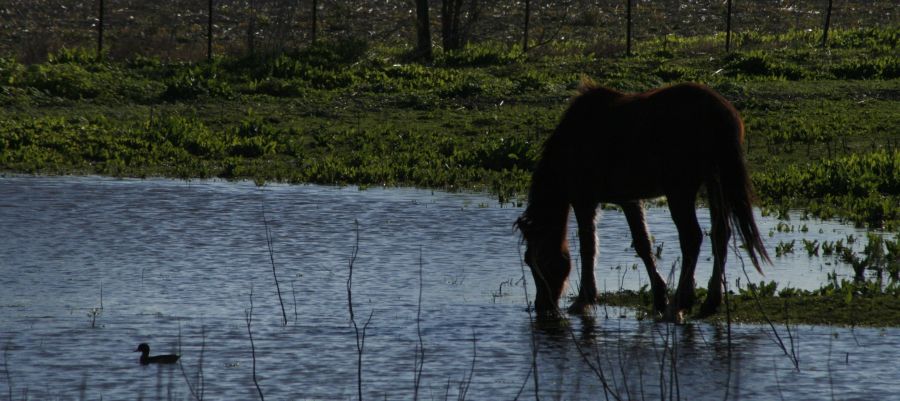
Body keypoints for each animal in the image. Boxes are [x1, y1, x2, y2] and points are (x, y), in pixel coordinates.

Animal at [516, 82, 768, 318]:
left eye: (542, 259)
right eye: (527, 260)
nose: (542, 307)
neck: (571, 144)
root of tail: (719, 111)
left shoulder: (584, 200)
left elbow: (588, 246)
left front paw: (583, 300)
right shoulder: (629, 199)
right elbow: (642, 244)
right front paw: (659, 297)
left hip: (681, 190)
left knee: (692, 238)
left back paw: (680, 303)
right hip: (715, 183)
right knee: (720, 233)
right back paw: (709, 302)